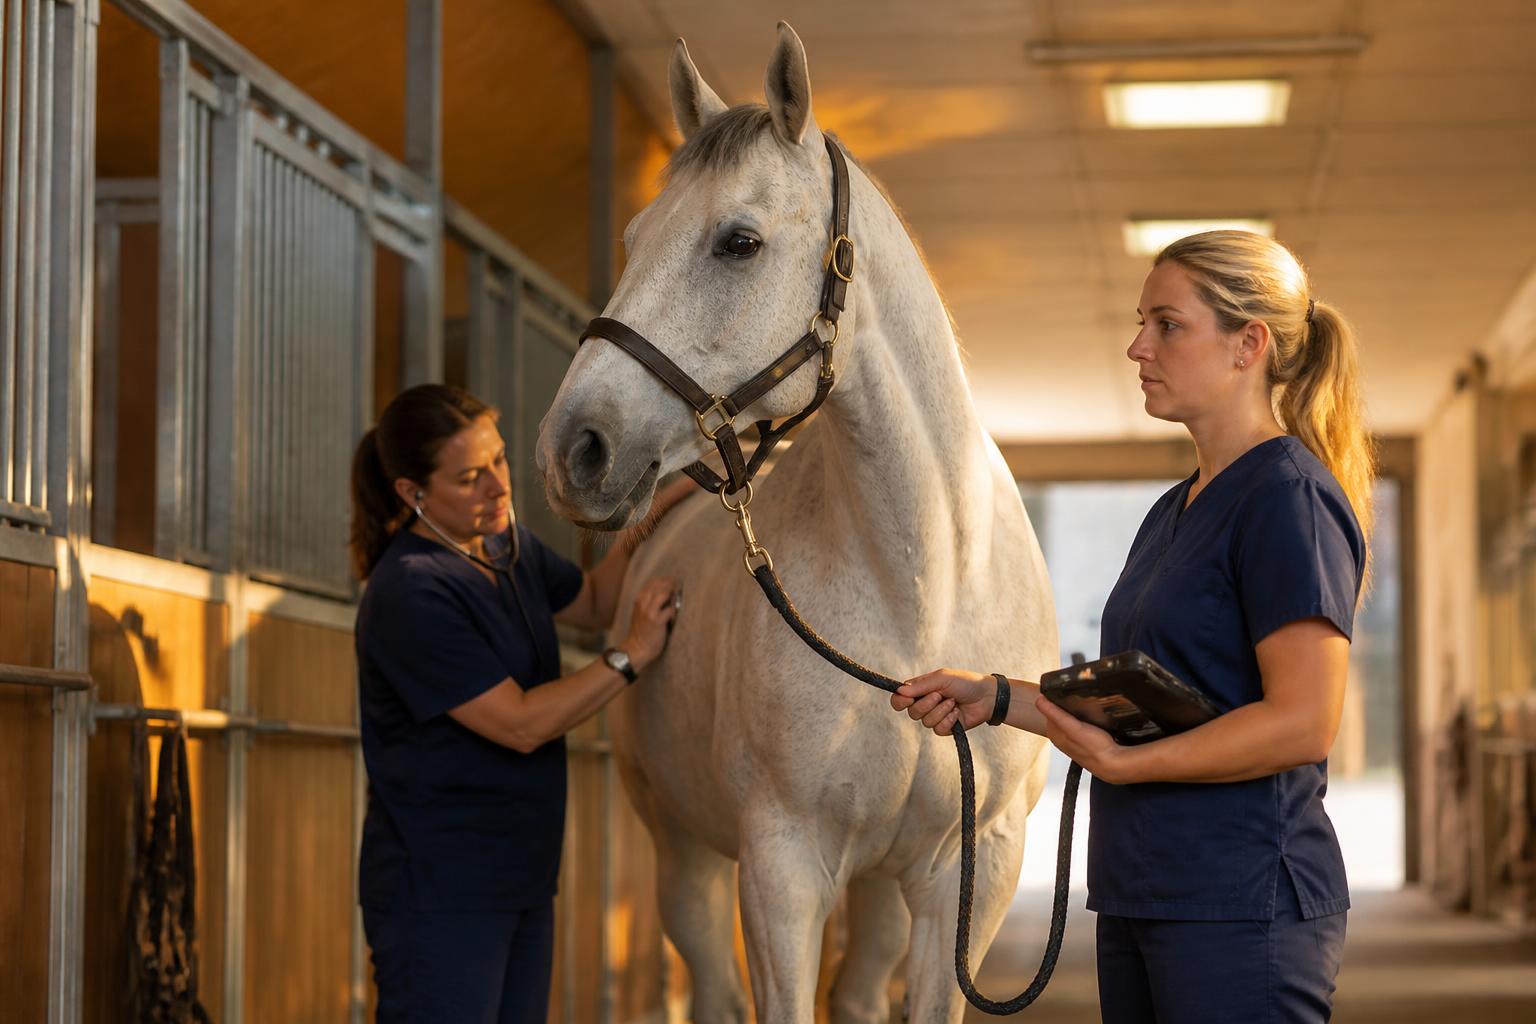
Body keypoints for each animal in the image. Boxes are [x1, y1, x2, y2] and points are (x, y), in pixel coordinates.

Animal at [536, 23, 1057, 1023]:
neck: (923, 589)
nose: (573, 447)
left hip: (881, 893)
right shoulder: (783, 868)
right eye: (632, 238)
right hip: (686, 857)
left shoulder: (966, 878)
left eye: (739, 242)